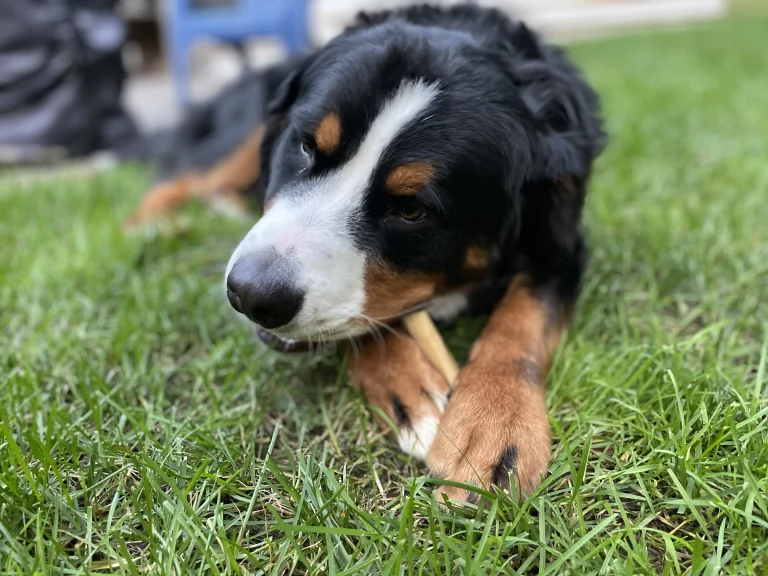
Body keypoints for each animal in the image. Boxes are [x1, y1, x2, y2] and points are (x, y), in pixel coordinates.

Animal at [135, 4, 608, 502]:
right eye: (304, 146)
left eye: (411, 209)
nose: (251, 292)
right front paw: (412, 388)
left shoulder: (562, 250)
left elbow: (523, 317)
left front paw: (495, 421)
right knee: (179, 180)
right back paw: (154, 227)